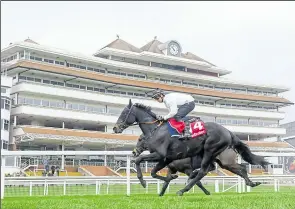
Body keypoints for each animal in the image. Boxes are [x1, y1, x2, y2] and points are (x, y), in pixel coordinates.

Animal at [114, 101, 270, 196]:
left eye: (124, 113)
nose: (115, 128)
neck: (156, 130)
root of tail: (227, 131)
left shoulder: (160, 155)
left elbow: (139, 160)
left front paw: (142, 181)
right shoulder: (166, 159)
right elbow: (153, 173)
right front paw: (166, 183)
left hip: (210, 150)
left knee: (202, 172)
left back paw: (183, 190)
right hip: (221, 161)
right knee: (241, 168)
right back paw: (252, 183)